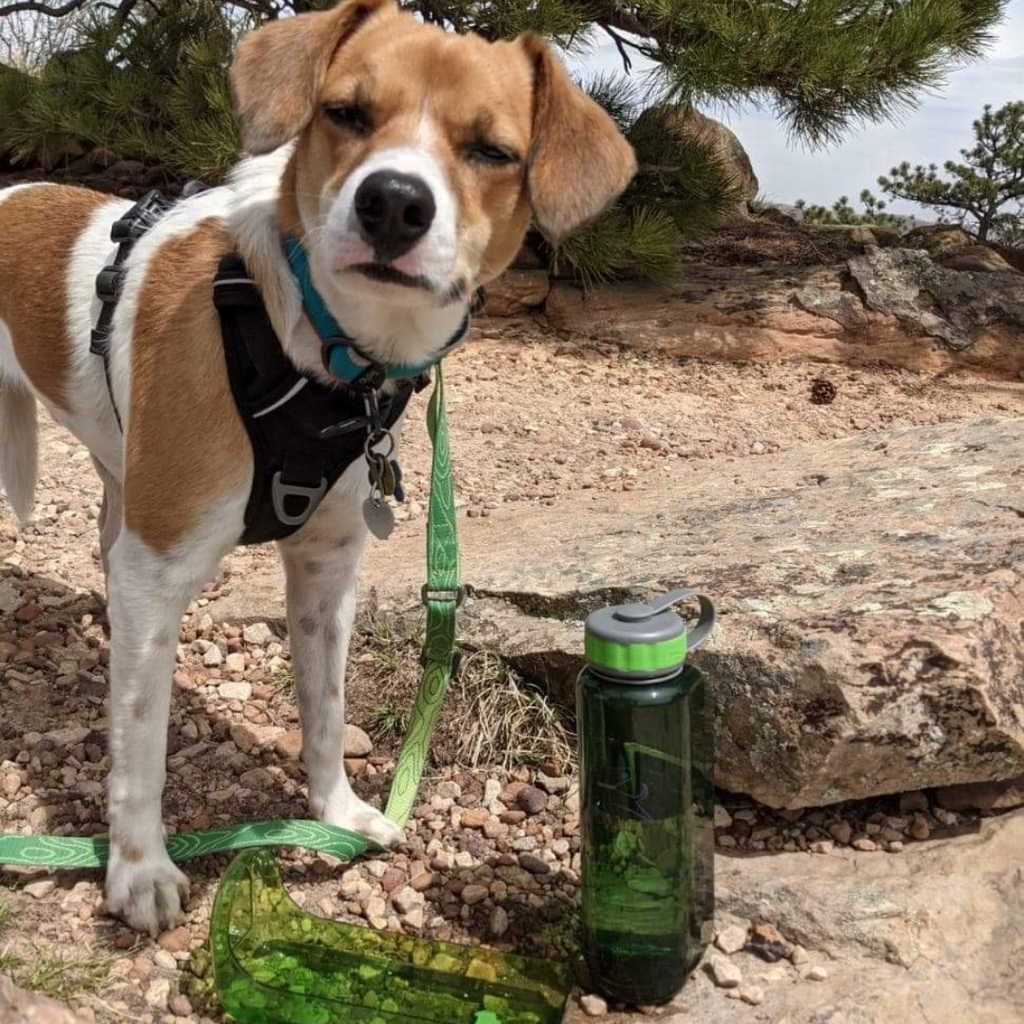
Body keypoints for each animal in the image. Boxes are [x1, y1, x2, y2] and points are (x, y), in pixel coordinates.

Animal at [0, 0, 634, 937]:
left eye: (491, 150)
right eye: (345, 113)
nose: (394, 202)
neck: (320, 352)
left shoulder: (326, 571)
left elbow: (326, 709)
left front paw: (335, 814)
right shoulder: (159, 572)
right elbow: (142, 741)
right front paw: (139, 868)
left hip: (123, 471)